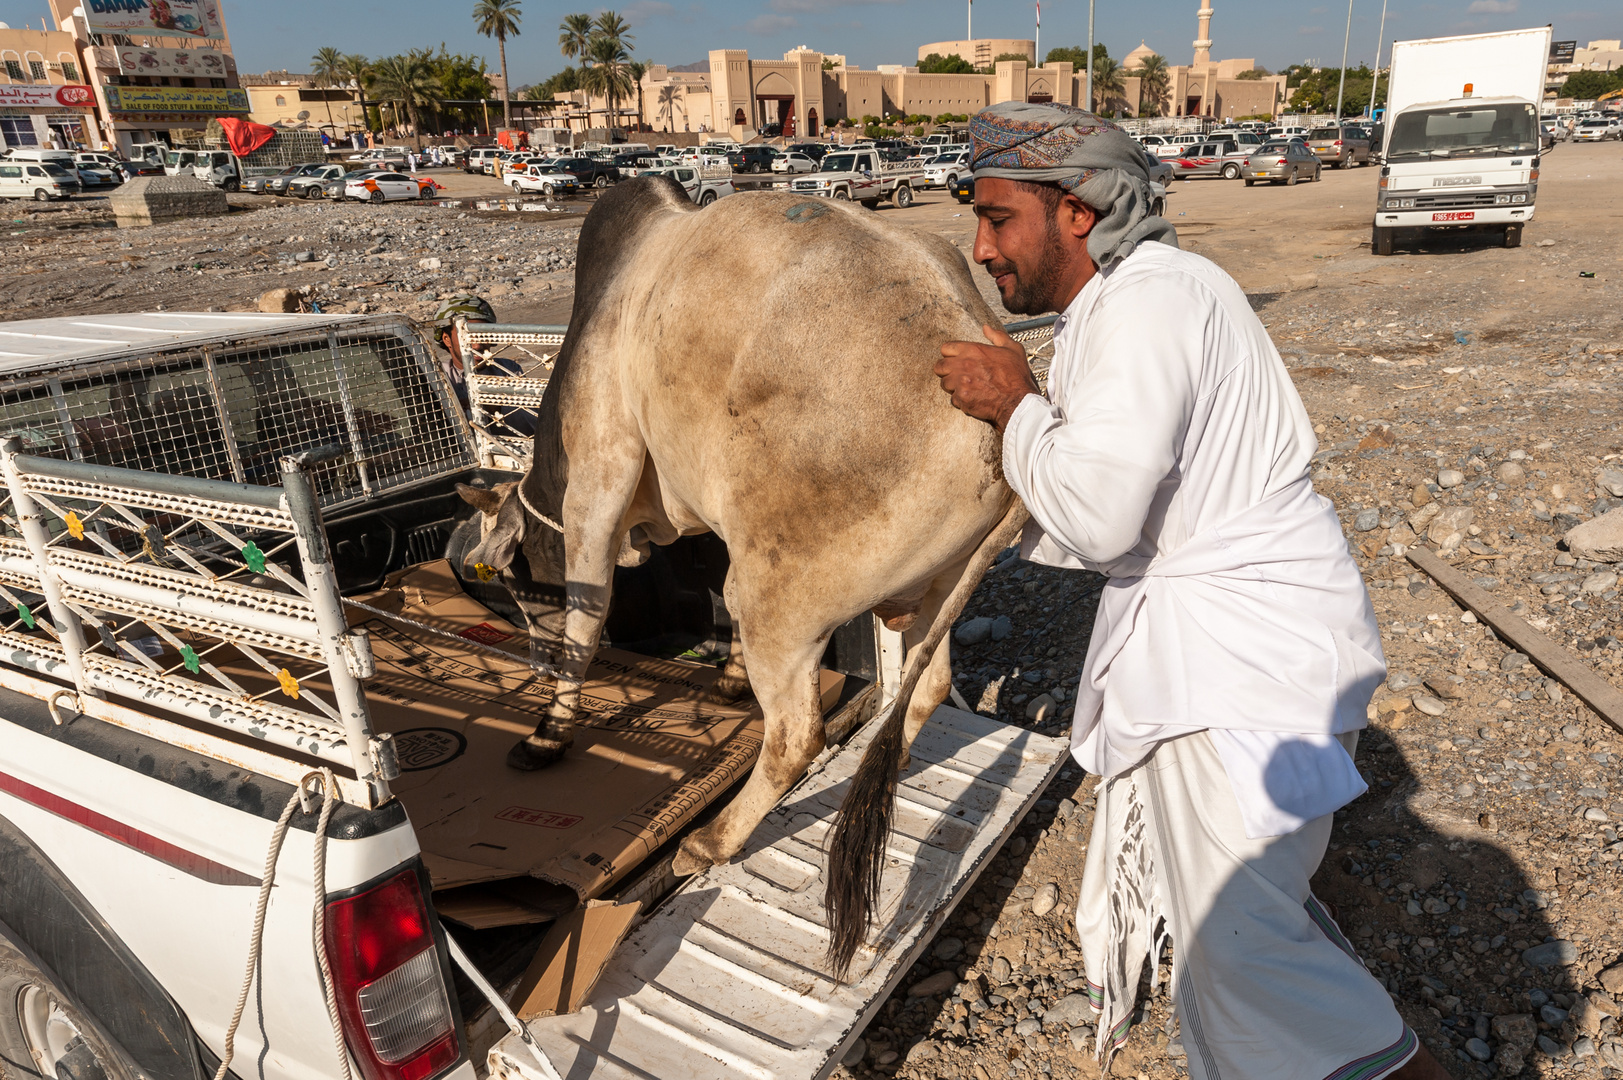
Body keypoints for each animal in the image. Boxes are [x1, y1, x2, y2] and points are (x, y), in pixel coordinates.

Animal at [457, 174, 1019, 967]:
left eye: (509, 579)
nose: (528, 662)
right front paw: (723, 676)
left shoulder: (601, 475)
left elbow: (585, 624)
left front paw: (547, 733)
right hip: (933, 596)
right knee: (925, 692)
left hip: (775, 601)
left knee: (793, 737)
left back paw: (711, 841)